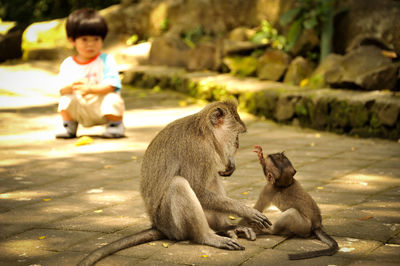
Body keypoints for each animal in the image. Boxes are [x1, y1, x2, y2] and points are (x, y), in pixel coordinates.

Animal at [77, 101, 272, 264]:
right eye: (236, 135)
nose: (237, 145)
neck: (205, 133)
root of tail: (158, 226)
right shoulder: (198, 151)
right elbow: (197, 190)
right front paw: (247, 210)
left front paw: (231, 163)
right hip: (171, 224)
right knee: (179, 184)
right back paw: (207, 237)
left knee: (210, 178)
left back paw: (224, 227)